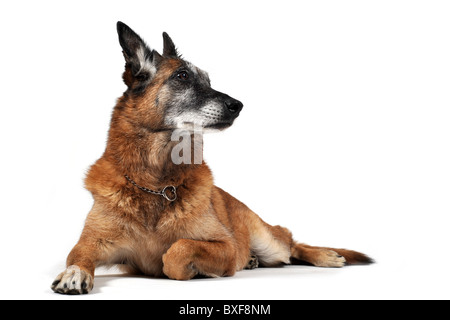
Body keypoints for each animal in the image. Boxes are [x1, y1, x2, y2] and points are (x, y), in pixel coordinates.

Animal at [51, 21, 372, 294]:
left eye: (207, 79)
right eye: (182, 76)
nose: (238, 105)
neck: (156, 184)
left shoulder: (225, 246)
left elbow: (177, 250)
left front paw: (193, 270)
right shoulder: (91, 243)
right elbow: (77, 256)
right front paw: (74, 274)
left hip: (268, 241)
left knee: (291, 243)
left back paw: (324, 255)